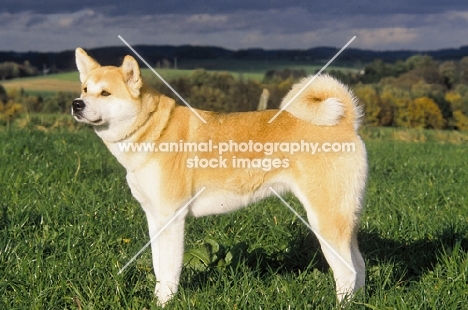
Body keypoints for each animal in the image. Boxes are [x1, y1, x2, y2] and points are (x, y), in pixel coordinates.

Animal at [71, 48, 368, 306]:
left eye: (105, 93)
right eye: (85, 89)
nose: (76, 104)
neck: (154, 128)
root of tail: (346, 122)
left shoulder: (171, 218)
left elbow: (168, 271)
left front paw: (164, 303)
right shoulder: (155, 218)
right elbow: (158, 267)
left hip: (326, 220)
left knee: (347, 272)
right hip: (344, 219)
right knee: (360, 266)